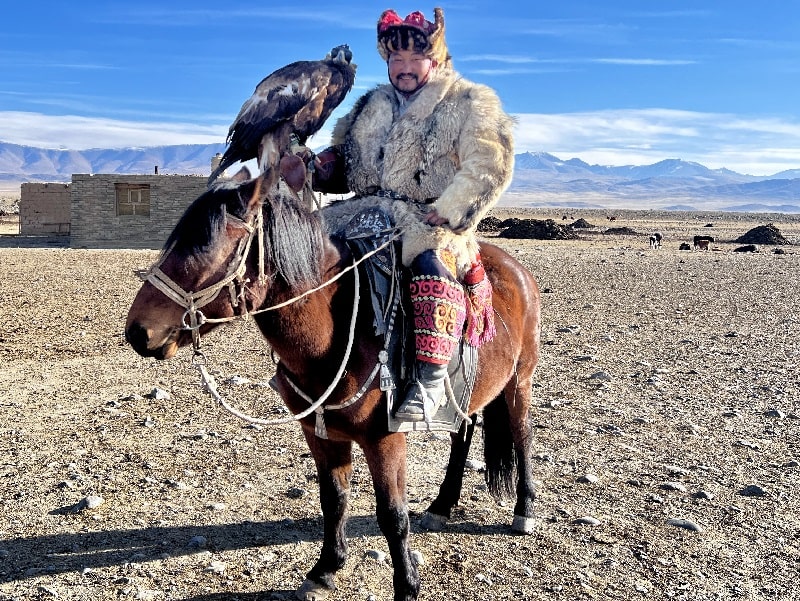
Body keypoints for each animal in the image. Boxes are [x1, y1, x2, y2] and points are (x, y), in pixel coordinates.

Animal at [125, 168, 544, 600]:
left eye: (209, 248)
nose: (138, 331)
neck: (339, 332)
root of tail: (515, 269)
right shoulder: (320, 432)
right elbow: (334, 499)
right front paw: (325, 569)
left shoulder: (384, 439)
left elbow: (392, 515)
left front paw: (406, 586)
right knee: (463, 432)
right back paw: (442, 506)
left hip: (520, 380)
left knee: (522, 434)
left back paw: (524, 510)